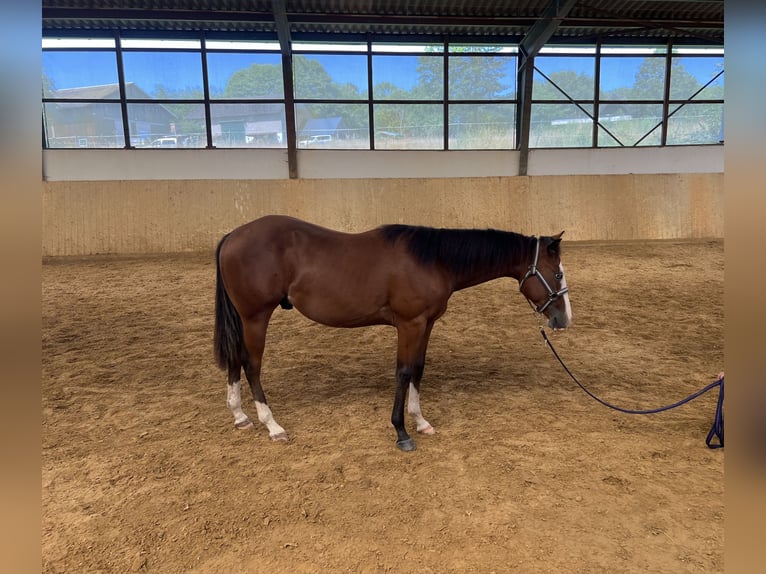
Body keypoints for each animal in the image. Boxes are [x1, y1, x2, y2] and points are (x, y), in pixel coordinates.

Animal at [213, 214, 572, 452]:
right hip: (255, 317)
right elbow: (403, 371)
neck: (432, 260)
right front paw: (401, 432)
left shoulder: (426, 324)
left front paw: (421, 421)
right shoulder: (409, 324)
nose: (564, 318)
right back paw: (272, 425)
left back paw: (240, 416)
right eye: (557, 273)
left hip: (244, 319)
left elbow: (418, 369)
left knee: (235, 358)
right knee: (251, 365)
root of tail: (233, 235)